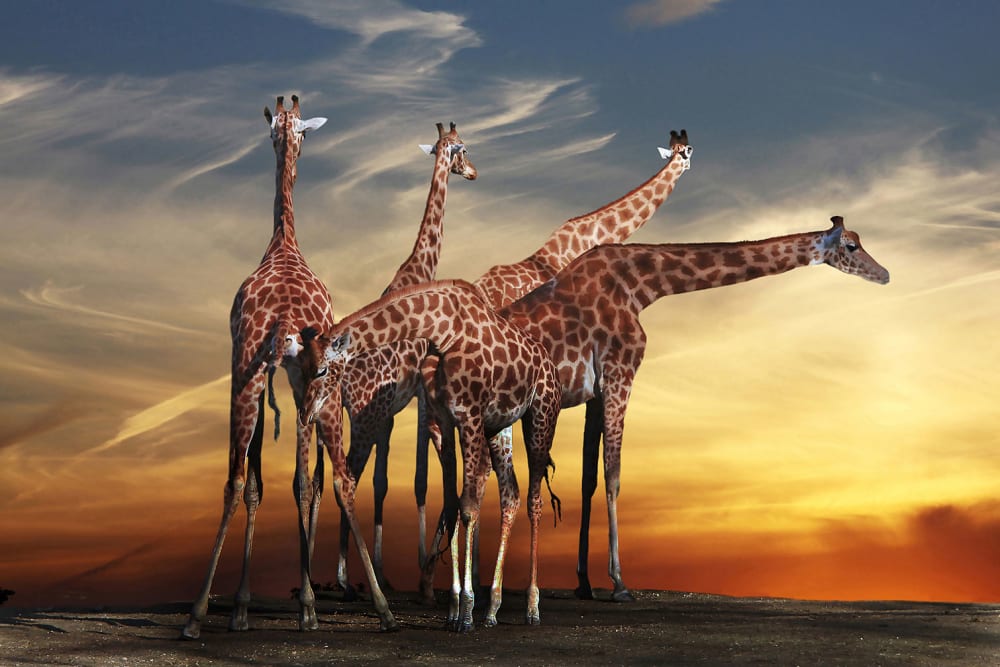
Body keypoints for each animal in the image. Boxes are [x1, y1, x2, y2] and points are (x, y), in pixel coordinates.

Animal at [182, 95, 336, 640]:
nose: (287, 141)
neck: (283, 241)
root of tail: (287, 317)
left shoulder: (249, 366)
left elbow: (251, 482)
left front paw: (241, 607)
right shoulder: (284, 376)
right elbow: (278, 483)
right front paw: (249, 606)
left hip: (246, 381)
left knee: (234, 482)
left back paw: (198, 612)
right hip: (303, 385)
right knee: (305, 482)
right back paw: (308, 607)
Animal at [299, 279, 563, 631]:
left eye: (321, 370)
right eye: (301, 369)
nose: (305, 414)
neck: (441, 332)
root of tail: (550, 364)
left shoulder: (468, 414)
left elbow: (468, 507)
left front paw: (466, 612)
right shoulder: (444, 419)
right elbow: (451, 504)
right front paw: (454, 608)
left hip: (541, 415)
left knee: (534, 500)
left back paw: (532, 608)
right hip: (499, 426)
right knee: (511, 494)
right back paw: (493, 608)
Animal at [334, 122, 476, 597]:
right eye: (463, 149)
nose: (473, 171)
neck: (420, 266)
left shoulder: (394, 408)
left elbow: (385, 482)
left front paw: (386, 569)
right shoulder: (415, 395)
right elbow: (417, 478)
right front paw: (419, 576)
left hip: (356, 416)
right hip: (364, 417)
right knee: (346, 478)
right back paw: (352, 582)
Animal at [496, 215, 889, 602]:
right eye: (851, 246)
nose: (885, 274)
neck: (641, 286)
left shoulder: (596, 391)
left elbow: (588, 479)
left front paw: (584, 582)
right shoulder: (620, 373)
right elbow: (614, 475)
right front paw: (619, 583)